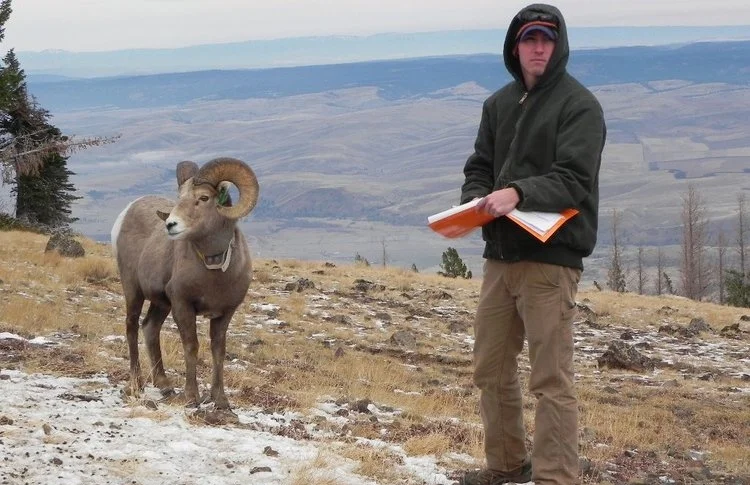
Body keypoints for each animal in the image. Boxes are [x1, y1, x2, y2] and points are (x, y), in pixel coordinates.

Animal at [111, 157, 259, 410]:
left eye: (204, 198)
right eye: (180, 197)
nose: (171, 225)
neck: (214, 268)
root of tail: (127, 211)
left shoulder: (225, 314)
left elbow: (218, 351)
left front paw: (221, 401)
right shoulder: (182, 305)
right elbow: (191, 346)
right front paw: (192, 397)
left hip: (161, 303)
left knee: (150, 328)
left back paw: (164, 384)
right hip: (134, 291)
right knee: (132, 328)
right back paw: (136, 384)